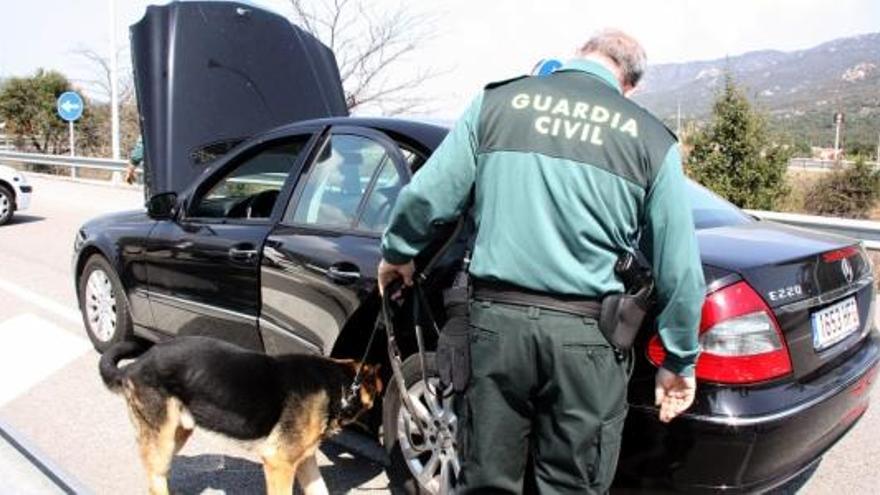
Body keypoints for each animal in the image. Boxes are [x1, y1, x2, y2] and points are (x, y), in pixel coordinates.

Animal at [99, 338, 382, 495]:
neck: (340, 386)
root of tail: (134, 366)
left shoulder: (304, 461)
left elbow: (320, 490)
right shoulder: (279, 463)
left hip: (177, 433)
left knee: (157, 473)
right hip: (163, 437)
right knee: (155, 480)